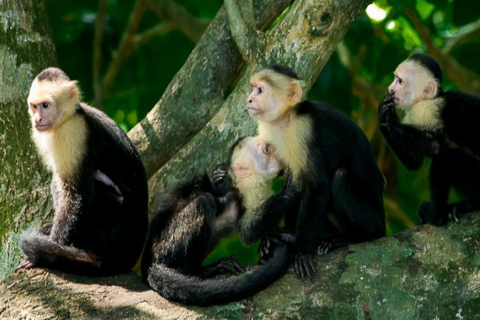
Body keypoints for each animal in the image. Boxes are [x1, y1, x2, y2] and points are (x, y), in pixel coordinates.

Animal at [16, 67, 148, 276]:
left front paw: (51, 248)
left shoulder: (72, 133)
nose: (37, 119)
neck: (69, 116)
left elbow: (76, 194)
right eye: (34, 106)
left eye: (46, 105)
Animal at [142, 136, 292, 306]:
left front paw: (269, 240)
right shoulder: (249, 188)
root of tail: (148, 259)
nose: (279, 152)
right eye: (266, 149)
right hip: (166, 245)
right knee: (204, 202)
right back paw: (197, 270)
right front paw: (289, 191)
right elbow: (248, 233)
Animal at [246, 65, 384, 280]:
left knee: (341, 177)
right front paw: (281, 236)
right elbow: (291, 180)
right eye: (253, 89)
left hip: (376, 217)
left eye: (260, 90)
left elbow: (316, 185)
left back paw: (356, 238)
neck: (285, 119)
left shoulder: (303, 131)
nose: (249, 99)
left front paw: (302, 251)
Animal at [376, 53, 480, 226]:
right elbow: (414, 162)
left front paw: (392, 120)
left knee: (445, 158)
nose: (390, 89)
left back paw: (437, 216)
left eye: (400, 81)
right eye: (394, 78)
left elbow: (436, 145)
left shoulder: (427, 109)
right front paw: (382, 114)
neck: (427, 99)